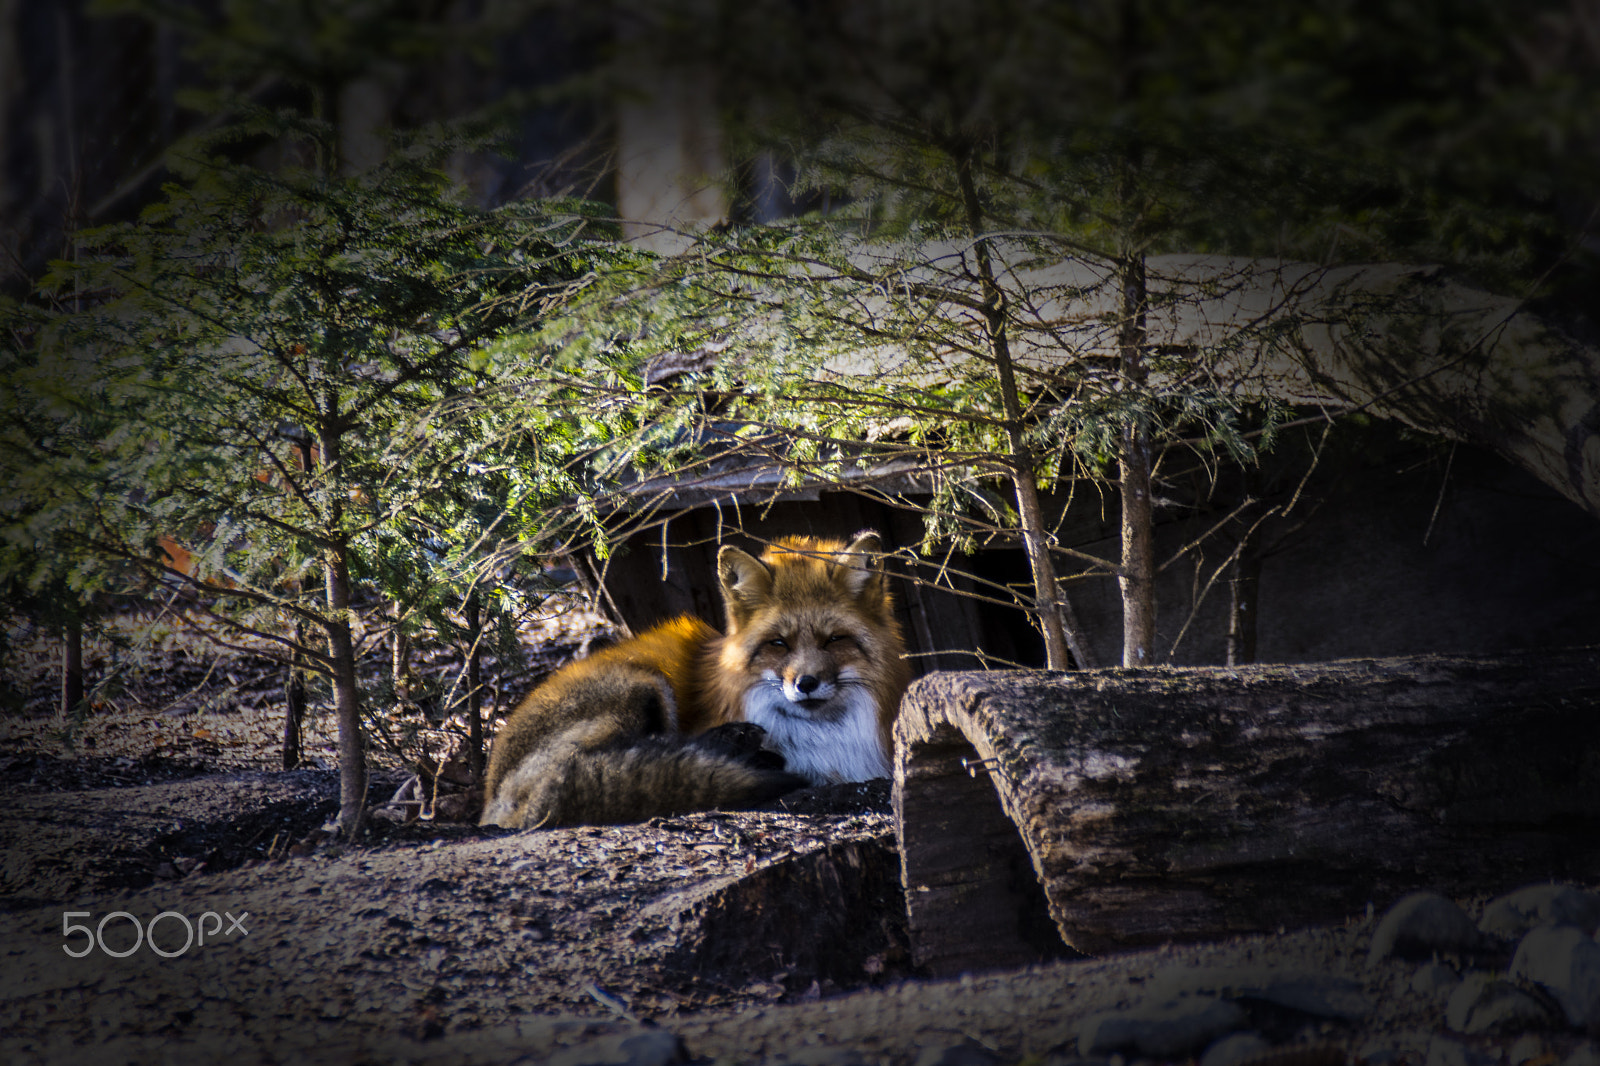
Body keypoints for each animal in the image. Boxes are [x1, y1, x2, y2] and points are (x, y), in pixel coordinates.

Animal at [479, 530, 912, 829]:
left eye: (834, 640)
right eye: (778, 644)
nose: (805, 683)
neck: (825, 740)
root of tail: (491, 796)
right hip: (642, 685)